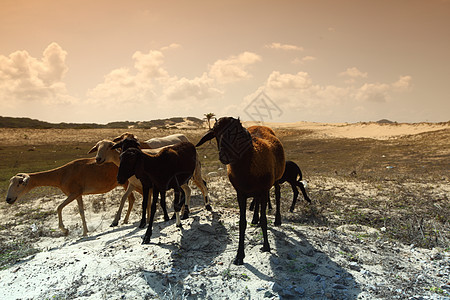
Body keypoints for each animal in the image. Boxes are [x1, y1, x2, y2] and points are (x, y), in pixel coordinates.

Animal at [197, 117, 284, 264]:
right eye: (215, 133)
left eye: (237, 133)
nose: (224, 155)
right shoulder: (240, 193)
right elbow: (242, 223)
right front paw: (239, 255)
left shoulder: (263, 190)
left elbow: (265, 219)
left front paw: (266, 246)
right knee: (257, 200)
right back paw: (255, 218)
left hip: (276, 178)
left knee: (277, 194)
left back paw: (278, 219)